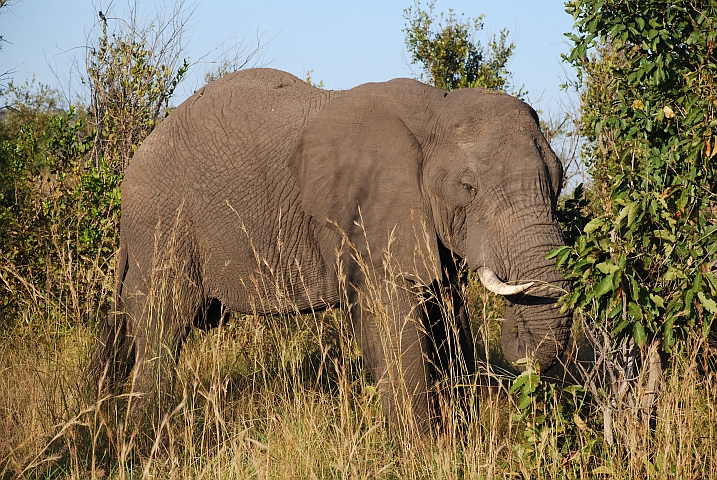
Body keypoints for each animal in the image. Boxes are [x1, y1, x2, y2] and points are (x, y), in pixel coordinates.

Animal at [91, 68, 572, 438]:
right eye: (468, 188)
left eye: (560, 179)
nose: (519, 335)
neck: (436, 108)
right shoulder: (367, 213)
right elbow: (392, 323)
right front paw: (424, 452)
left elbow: (446, 316)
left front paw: (460, 439)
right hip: (164, 226)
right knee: (163, 327)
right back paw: (144, 439)